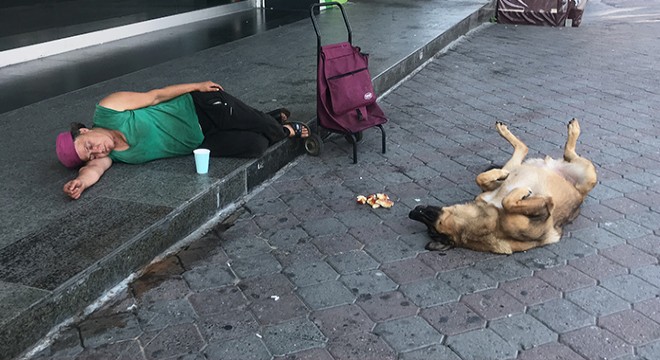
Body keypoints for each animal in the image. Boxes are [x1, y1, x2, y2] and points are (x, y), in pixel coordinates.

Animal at [408, 119, 600, 255]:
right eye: (431, 229)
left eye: (427, 220)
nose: (412, 211)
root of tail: (580, 193)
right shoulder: (544, 210)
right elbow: (509, 201)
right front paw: (521, 192)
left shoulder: (488, 191)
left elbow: (481, 179)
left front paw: (499, 174)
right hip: (589, 175)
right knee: (563, 152)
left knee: (524, 151)